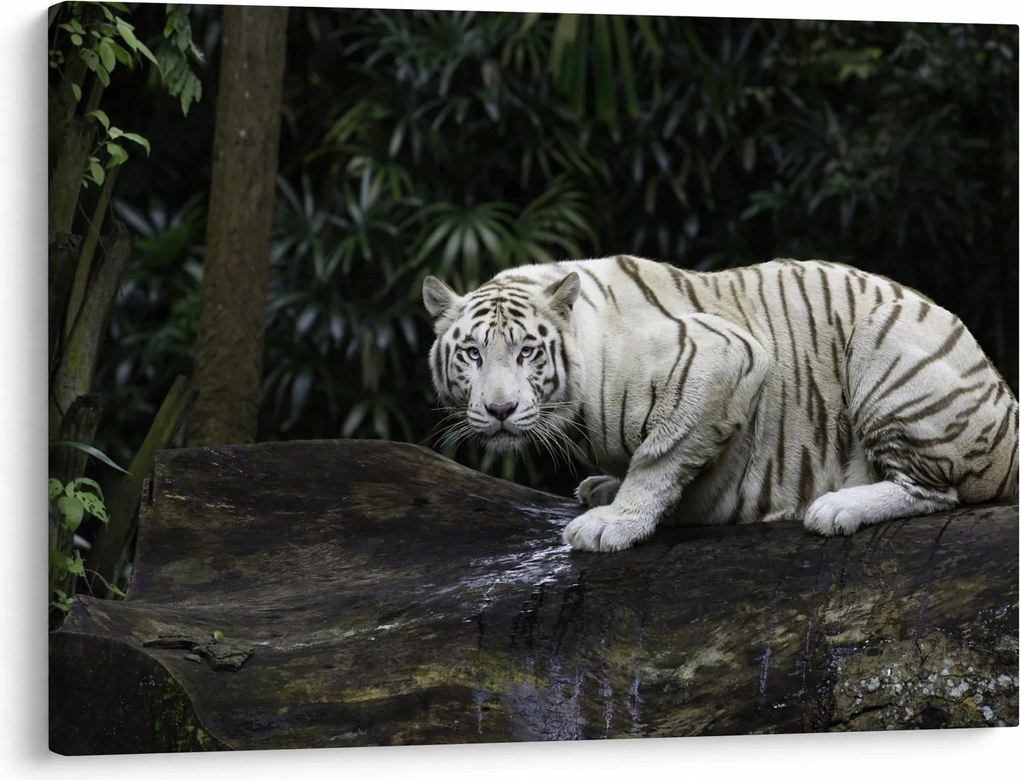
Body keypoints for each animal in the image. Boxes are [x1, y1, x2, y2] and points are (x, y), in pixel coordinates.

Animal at [422, 255, 1018, 552]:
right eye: (472, 353)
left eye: (527, 351)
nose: (499, 410)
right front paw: (605, 490)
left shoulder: (725, 356)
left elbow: (660, 456)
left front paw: (614, 523)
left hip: (883, 340)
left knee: (937, 492)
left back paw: (838, 507)